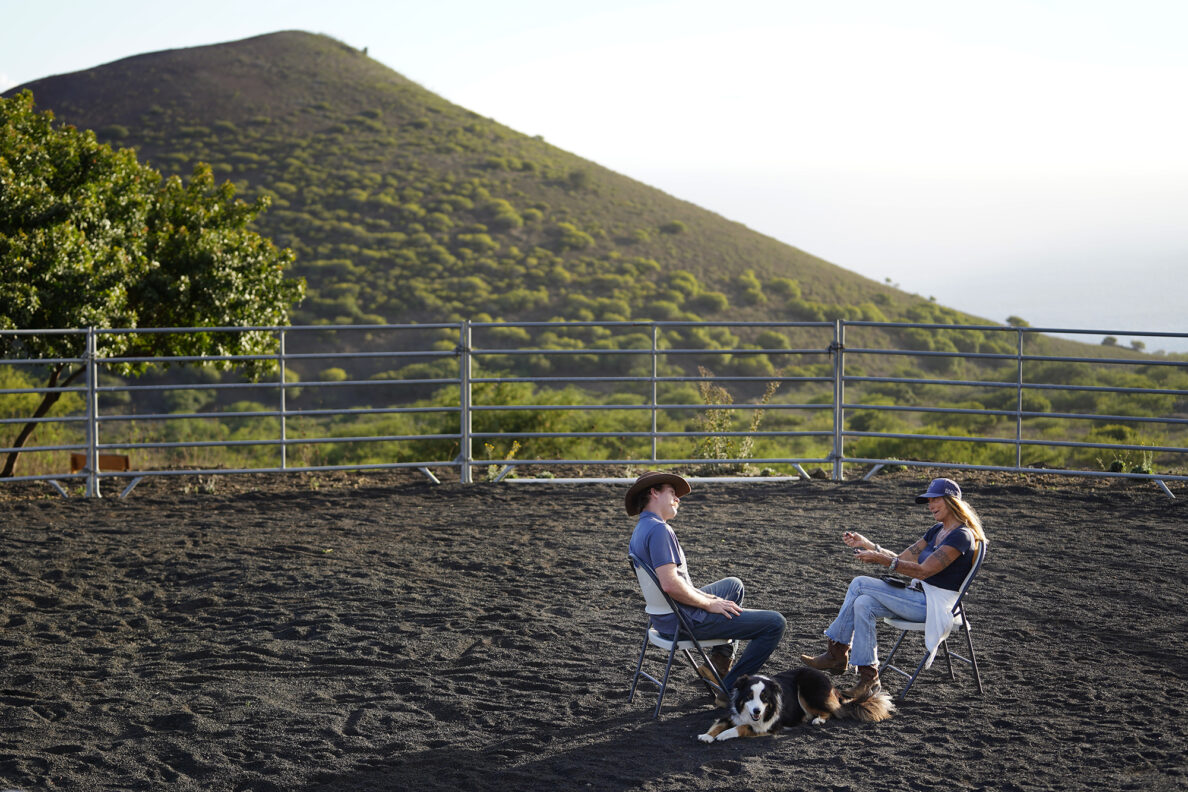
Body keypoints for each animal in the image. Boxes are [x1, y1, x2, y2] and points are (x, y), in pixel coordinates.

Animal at [693, 669, 893, 745]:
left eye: (764, 698)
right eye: (749, 696)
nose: (757, 711)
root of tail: (830, 683)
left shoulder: (767, 726)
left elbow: (741, 727)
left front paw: (723, 735)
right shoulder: (733, 714)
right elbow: (719, 724)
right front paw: (707, 736)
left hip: (807, 689)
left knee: (832, 711)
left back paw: (818, 720)